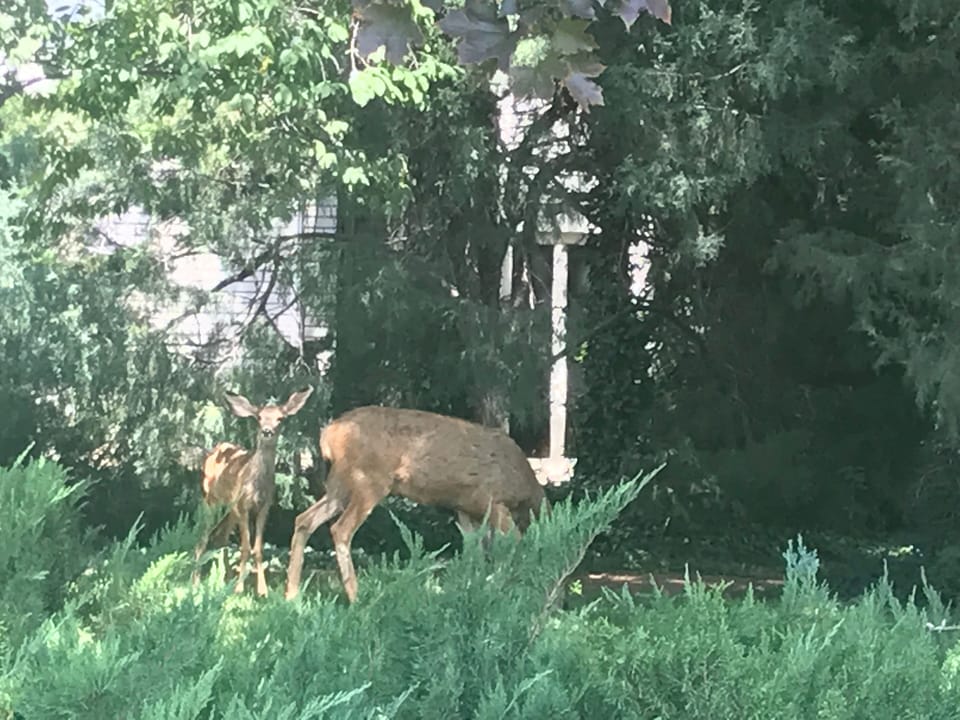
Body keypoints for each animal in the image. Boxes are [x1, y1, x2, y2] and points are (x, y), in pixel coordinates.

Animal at [193, 387, 314, 596]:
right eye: (259, 417)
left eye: (280, 418)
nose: (267, 431)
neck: (257, 485)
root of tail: (216, 449)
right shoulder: (243, 506)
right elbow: (245, 547)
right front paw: (239, 588)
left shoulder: (264, 507)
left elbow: (257, 549)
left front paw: (262, 591)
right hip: (211, 500)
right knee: (203, 537)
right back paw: (196, 582)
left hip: (229, 511)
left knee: (221, 538)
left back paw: (223, 580)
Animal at [283, 405, 550, 603]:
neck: (524, 490)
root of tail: (329, 435)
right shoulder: (491, 500)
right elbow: (512, 542)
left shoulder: (466, 509)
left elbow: (475, 550)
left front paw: (472, 586)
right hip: (368, 480)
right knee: (341, 529)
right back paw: (356, 598)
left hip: (340, 485)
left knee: (304, 519)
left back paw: (292, 595)